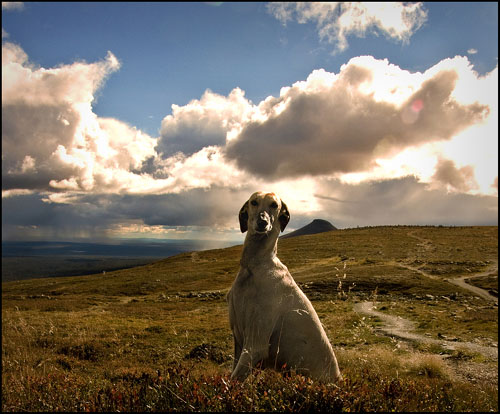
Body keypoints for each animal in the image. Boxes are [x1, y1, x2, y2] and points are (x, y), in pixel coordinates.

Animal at [226, 192, 340, 384]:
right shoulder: (239, 341)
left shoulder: (255, 345)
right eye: (254, 202)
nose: (262, 222)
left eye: (274, 205)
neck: (254, 266)